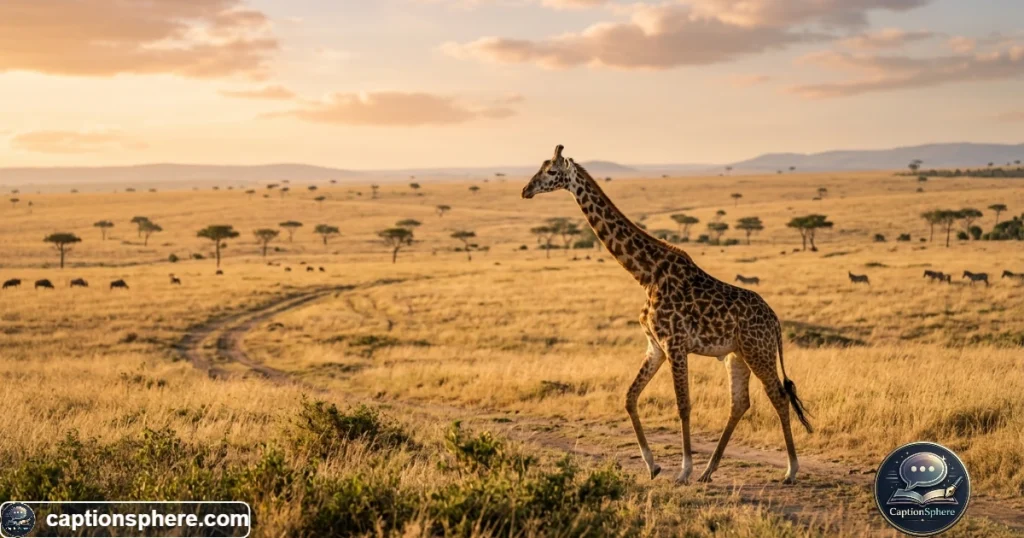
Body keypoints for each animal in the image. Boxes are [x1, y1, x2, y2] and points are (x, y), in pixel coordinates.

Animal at [522, 145, 812, 484]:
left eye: (551, 172)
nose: (525, 190)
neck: (646, 274)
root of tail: (775, 321)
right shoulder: (656, 346)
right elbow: (629, 397)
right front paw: (653, 465)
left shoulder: (675, 344)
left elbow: (683, 404)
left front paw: (683, 470)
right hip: (736, 355)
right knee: (740, 403)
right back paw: (709, 470)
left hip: (758, 351)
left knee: (778, 396)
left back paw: (790, 470)